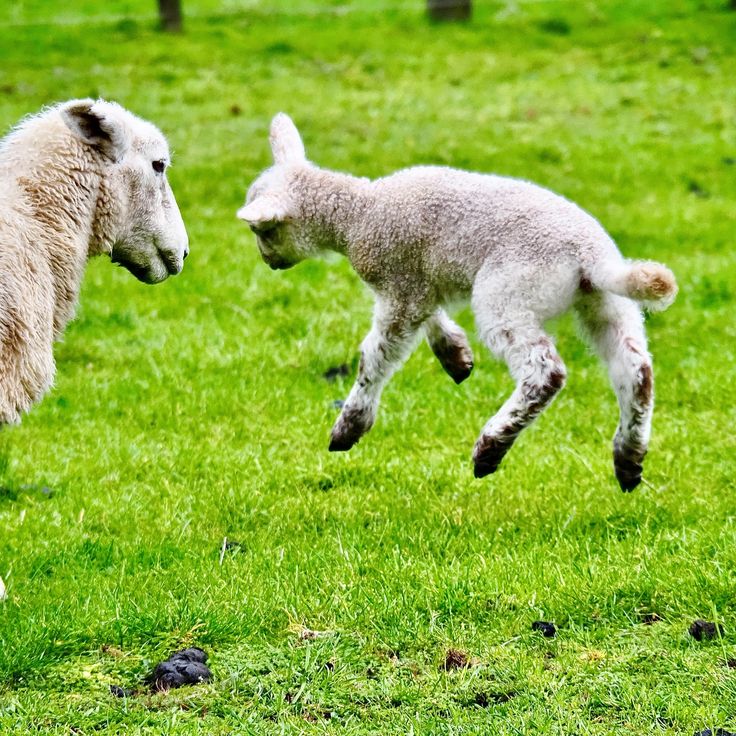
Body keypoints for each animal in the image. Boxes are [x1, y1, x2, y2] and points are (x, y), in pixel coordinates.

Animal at [237, 113, 677, 491]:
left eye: (263, 232)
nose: (268, 262)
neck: (359, 214)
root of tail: (591, 255)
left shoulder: (400, 285)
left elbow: (376, 356)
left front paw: (348, 428)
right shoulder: (419, 284)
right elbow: (432, 318)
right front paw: (456, 357)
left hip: (507, 293)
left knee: (546, 372)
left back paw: (490, 449)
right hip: (605, 302)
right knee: (635, 368)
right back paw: (628, 460)